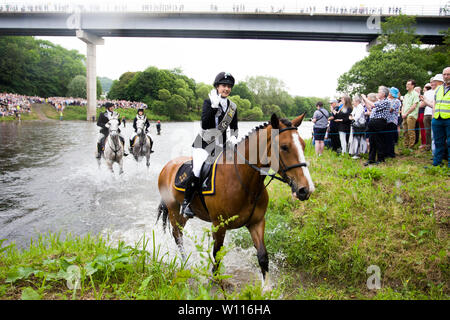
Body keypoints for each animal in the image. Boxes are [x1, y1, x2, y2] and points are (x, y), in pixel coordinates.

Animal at [156, 113, 314, 288]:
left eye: (303, 145)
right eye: (285, 147)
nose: (305, 189)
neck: (245, 182)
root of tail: (167, 167)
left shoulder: (257, 222)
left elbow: (263, 256)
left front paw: (266, 288)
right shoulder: (219, 225)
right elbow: (217, 253)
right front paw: (217, 279)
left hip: (182, 215)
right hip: (174, 210)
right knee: (178, 236)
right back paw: (186, 264)